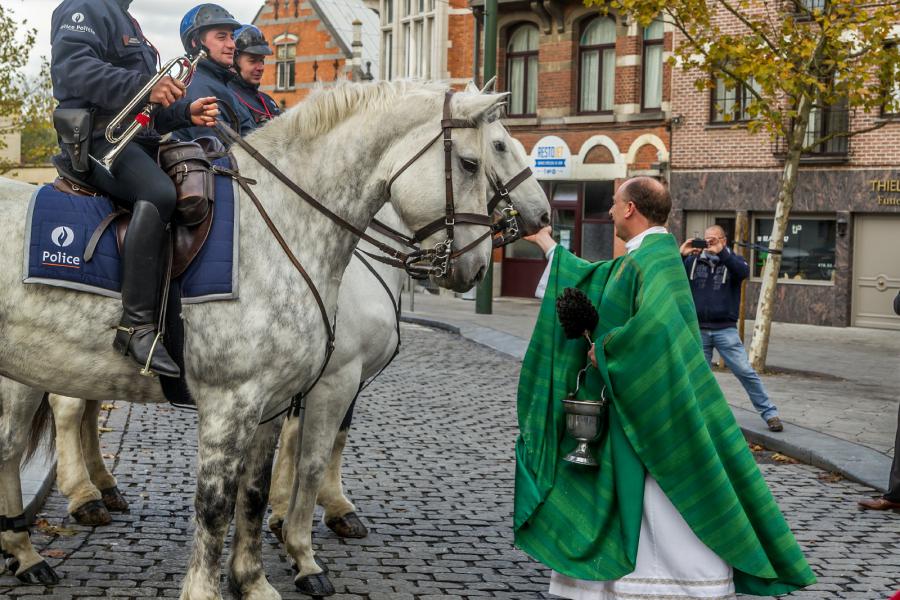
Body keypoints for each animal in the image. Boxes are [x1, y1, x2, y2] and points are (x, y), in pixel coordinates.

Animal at [0, 81, 506, 600]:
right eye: (473, 162)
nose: (477, 265)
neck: (279, 225)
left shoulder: (274, 403)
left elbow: (256, 494)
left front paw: (253, 579)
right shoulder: (239, 400)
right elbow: (220, 502)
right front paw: (214, 586)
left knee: (9, 447)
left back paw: (26, 553)